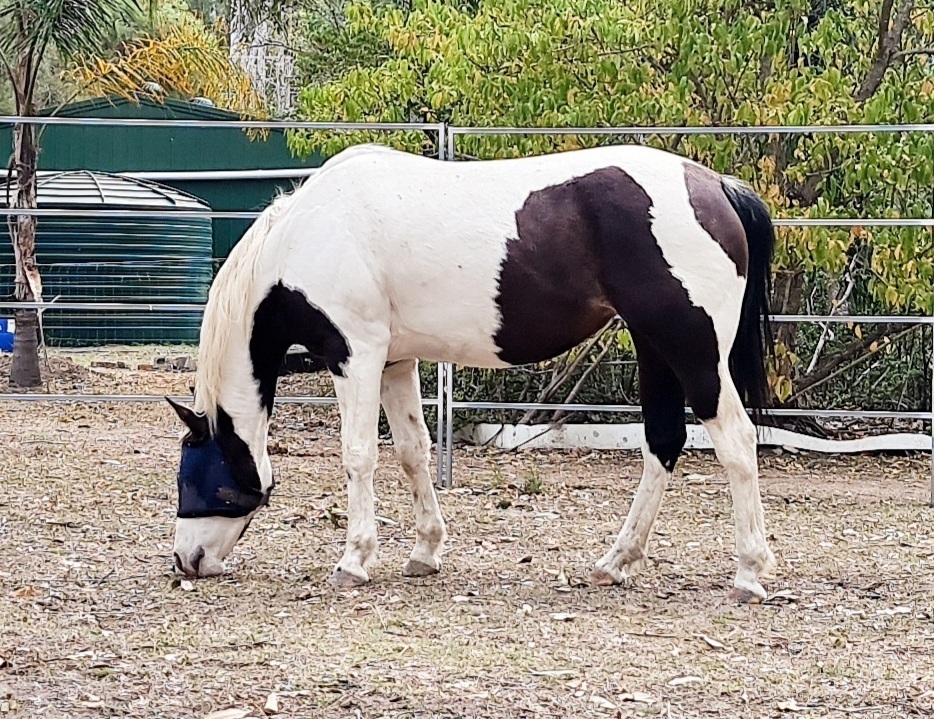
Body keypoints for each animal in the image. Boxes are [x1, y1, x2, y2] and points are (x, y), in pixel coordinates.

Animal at [167, 141, 777, 602]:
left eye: (193, 476)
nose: (186, 560)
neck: (309, 234)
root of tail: (715, 186)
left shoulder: (353, 355)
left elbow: (359, 456)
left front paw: (353, 561)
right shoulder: (395, 361)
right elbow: (412, 452)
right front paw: (424, 552)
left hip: (692, 349)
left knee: (735, 439)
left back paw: (749, 572)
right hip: (654, 346)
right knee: (663, 442)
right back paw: (614, 561)